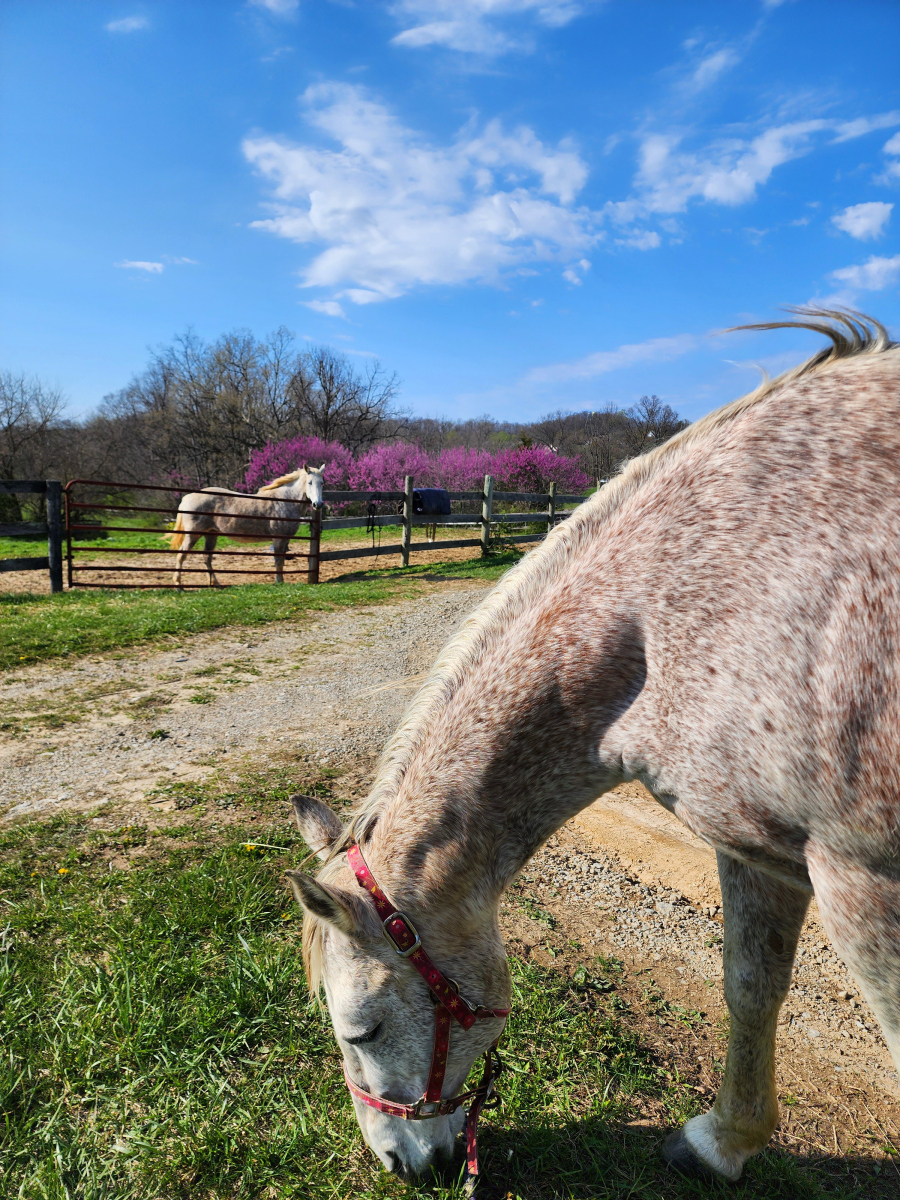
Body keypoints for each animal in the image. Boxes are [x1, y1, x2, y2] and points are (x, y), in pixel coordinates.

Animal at [168, 463, 326, 585]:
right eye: (310, 482)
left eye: (322, 483)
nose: (318, 504)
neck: (284, 500)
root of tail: (188, 497)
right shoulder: (278, 539)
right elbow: (278, 561)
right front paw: (279, 582)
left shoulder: (285, 539)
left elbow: (281, 561)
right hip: (193, 535)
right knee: (181, 555)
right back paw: (178, 585)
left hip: (211, 535)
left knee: (206, 558)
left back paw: (216, 584)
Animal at [286, 309, 900, 1180]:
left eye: (361, 1028)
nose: (403, 1164)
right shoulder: (758, 849)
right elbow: (750, 985)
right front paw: (723, 1140)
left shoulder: (864, 881)